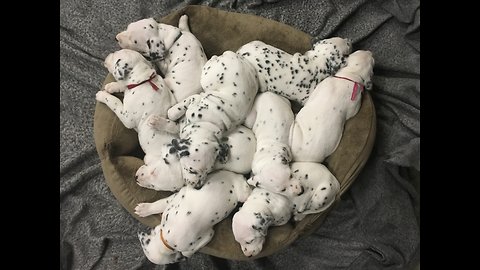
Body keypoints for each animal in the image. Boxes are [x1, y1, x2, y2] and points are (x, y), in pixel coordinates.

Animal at [168, 51, 260, 190]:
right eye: (192, 170)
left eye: (209, 170)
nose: (198, 187)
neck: (206, 123)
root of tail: (235, 56)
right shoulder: (195, 100)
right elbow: (184, 104)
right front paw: (172, 113)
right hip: (207, 76)